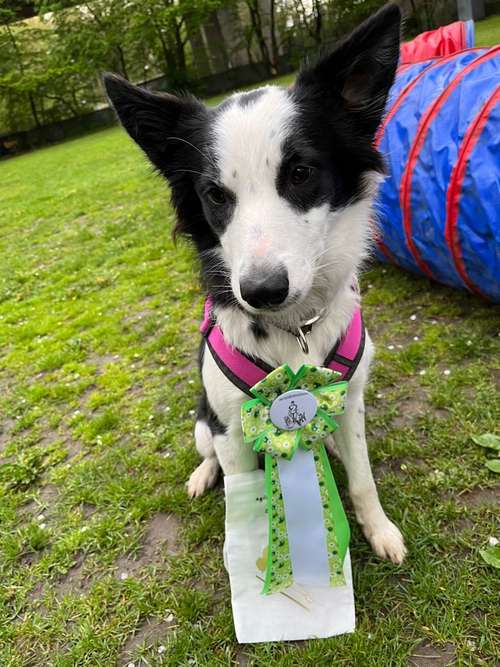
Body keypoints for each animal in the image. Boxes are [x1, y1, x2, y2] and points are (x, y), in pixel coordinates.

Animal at [104, 1, 406, 564]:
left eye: (301, 173)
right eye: (216, 195)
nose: (263, 291)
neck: (294, 330)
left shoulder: (349, 399)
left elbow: (362, 479)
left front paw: (379, 530)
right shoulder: (231, 428)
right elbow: (245, 500)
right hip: (204, 423)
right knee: (209, 455)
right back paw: (202, 475)